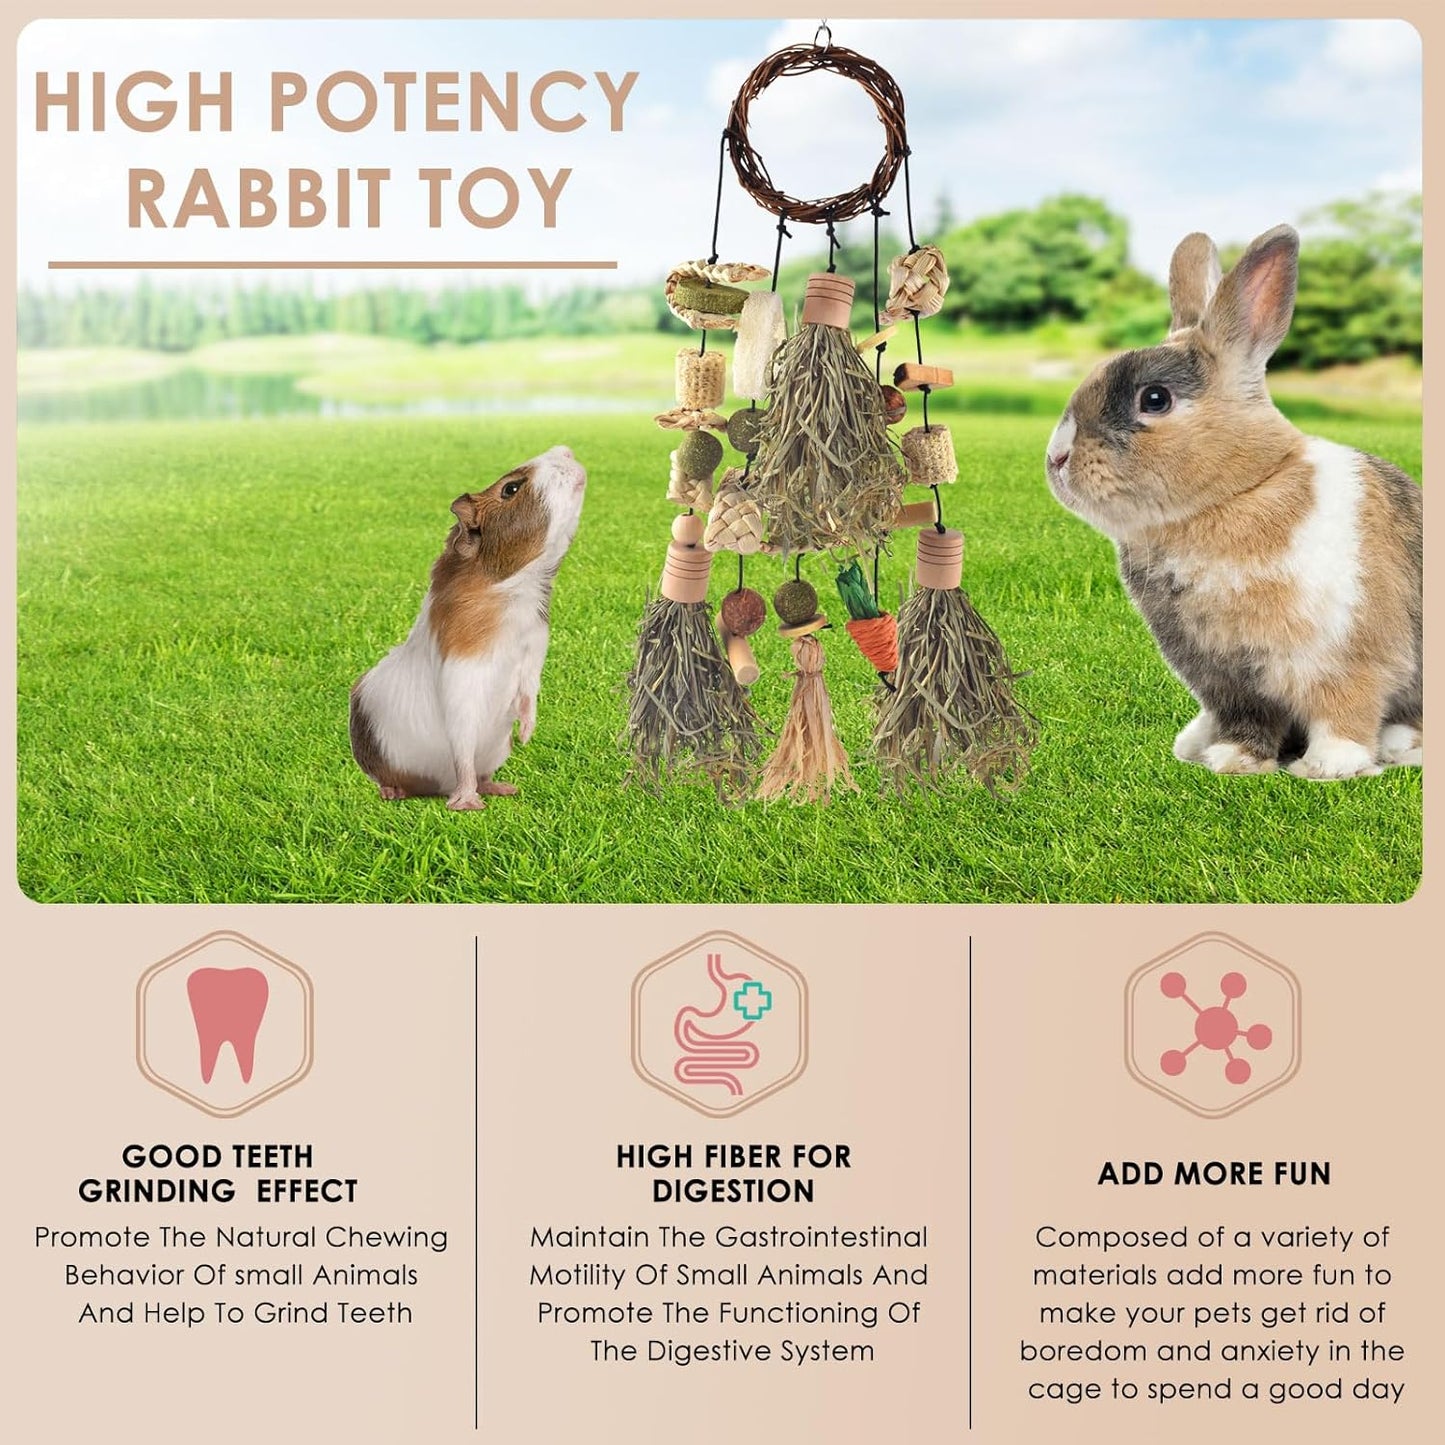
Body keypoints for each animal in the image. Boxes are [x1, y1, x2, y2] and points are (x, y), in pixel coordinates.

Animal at [349, 444, 587, 809]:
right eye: (511, 488)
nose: (567, 450)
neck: (513, 589)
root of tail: (434, 787)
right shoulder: (462, 685)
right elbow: (462, 751)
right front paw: (466, 806)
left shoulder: (533, 657)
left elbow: (528, 698)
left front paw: (526, 736)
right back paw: (399, 794)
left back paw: (503, 788)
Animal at [1044, 223, 1421, 780]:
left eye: (1154, 399)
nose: (1057, 457)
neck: (1238, 493)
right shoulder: (1228, 681)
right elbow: (1248, 721)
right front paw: (1233, 760)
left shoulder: (1353, 657)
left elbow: (1345, 713)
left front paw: (1327, 767)